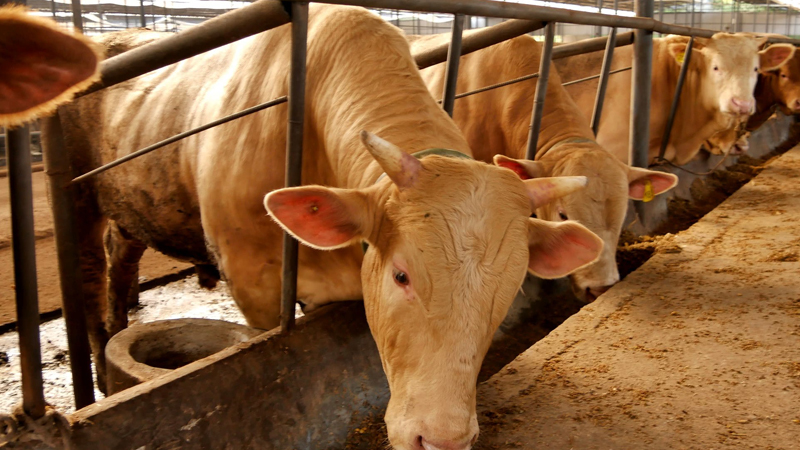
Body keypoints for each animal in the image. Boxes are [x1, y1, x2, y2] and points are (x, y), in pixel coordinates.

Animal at [48, 5, 600, 448]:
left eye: (509, 288)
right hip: (78, 198)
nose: (442, 439)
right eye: (401, 275)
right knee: (89, 270)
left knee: (122, 249)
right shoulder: (255, 284)